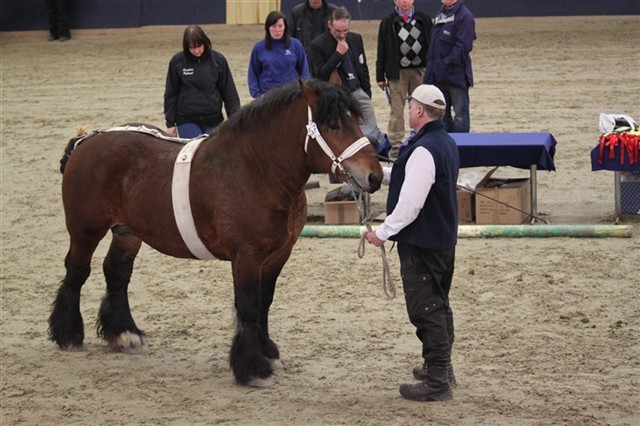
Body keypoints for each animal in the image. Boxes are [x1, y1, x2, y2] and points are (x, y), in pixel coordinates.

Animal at [50, 79, 382, 386]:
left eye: (355, 120)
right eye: (334, 124)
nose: (375, 176)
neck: (255, 172)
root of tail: (87, 141)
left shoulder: (278, 254)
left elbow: (265, 301)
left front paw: (267, 351)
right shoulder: (246, 256)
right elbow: (248, 306)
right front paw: (252, 368)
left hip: (127, 233)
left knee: (116, 273)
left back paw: (123, 333)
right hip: (85, 230)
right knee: (77, 272)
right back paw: (68, 334)